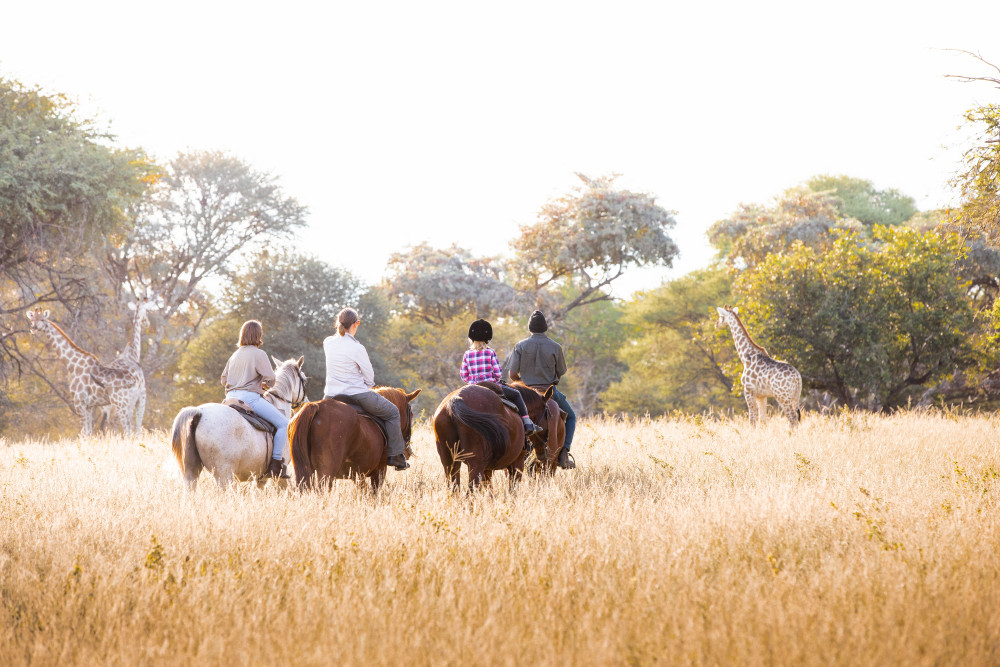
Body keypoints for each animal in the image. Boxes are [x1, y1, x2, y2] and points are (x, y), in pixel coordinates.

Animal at [170, 356, 308, 490]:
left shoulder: (258, 479)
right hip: (223, 475)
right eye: (304, 380)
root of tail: (199, 412)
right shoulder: (278, 479)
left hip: (191, 473)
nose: (305, 402)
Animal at [288, 386, 421, 493]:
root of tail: (316, 406)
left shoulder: (357, 474)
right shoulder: (379, 470)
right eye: (411, 414)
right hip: (326, 473)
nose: (407, 453)